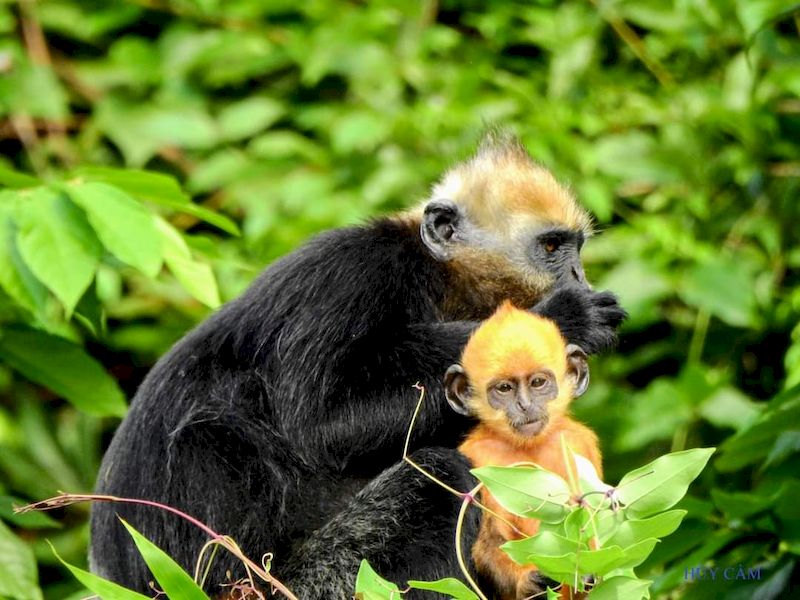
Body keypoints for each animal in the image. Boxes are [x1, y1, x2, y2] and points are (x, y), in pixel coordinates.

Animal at [444, 302, 600, 600]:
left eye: (537, 383)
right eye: (504, 388)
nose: (525, 405)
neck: (528, 447)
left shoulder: (579, 442)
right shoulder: (476, 456)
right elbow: (487, 544)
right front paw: (529, 582)